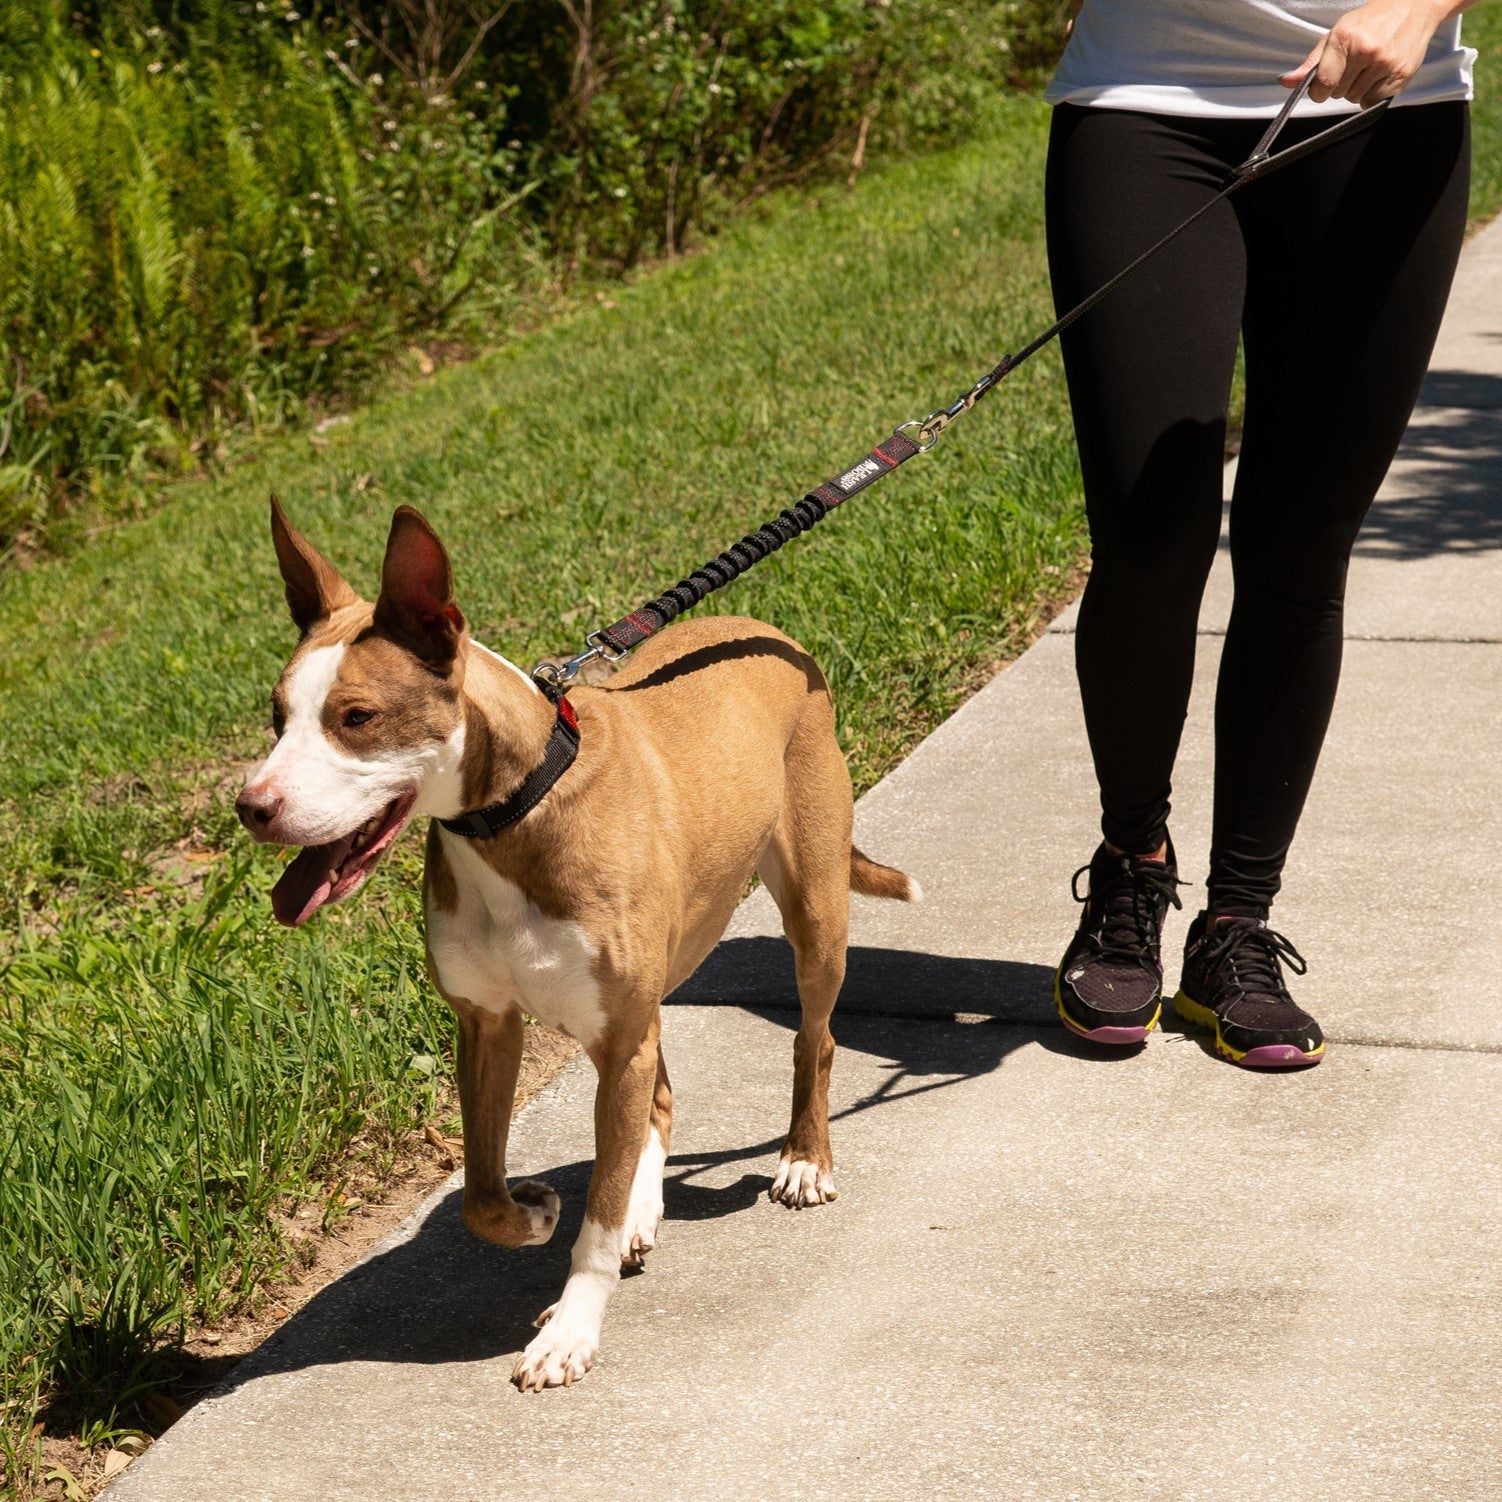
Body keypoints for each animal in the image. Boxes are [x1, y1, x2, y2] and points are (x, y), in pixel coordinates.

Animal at [235, 498, 919, 1387]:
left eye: (357, 718)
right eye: (278, 719)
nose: (252, 806)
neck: (513, 816)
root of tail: (769, 632)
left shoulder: (617, 1035)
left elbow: (592, 1218)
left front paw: (571, 1328)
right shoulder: (489, 1026)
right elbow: (481, 1193)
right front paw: (534, 1214)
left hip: (813, 907)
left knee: (816, 1037)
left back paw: (804, 1157)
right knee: (661, 1098)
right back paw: (643, 1205)